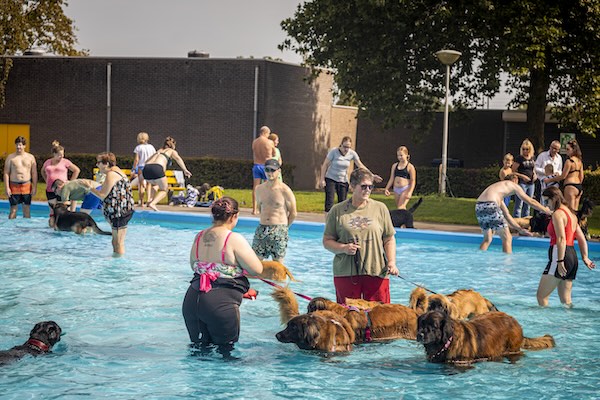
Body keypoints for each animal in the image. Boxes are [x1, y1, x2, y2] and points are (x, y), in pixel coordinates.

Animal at [418, 310, 552, 364]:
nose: (420, 334)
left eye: (433, 326)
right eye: (422, 324)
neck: (447, 343)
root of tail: (515, 321)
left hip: (512, 349)